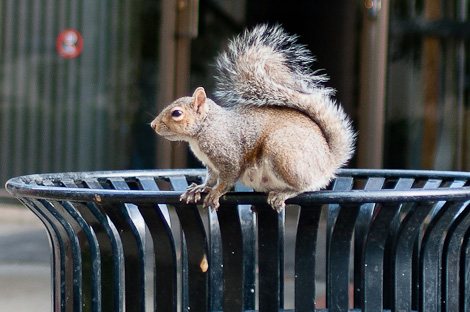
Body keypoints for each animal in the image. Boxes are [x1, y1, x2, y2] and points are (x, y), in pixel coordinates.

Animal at [152, 24, 354, 212]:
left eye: (177, 113)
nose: (153, 125)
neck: (205, 129)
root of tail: (328, 161)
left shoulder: (228, 156)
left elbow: (226, 180)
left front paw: (215, 193)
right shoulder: (211, 165)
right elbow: (210, 178)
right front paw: (200, 188)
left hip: (283, 152)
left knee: (305, 185)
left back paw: (284, 193)